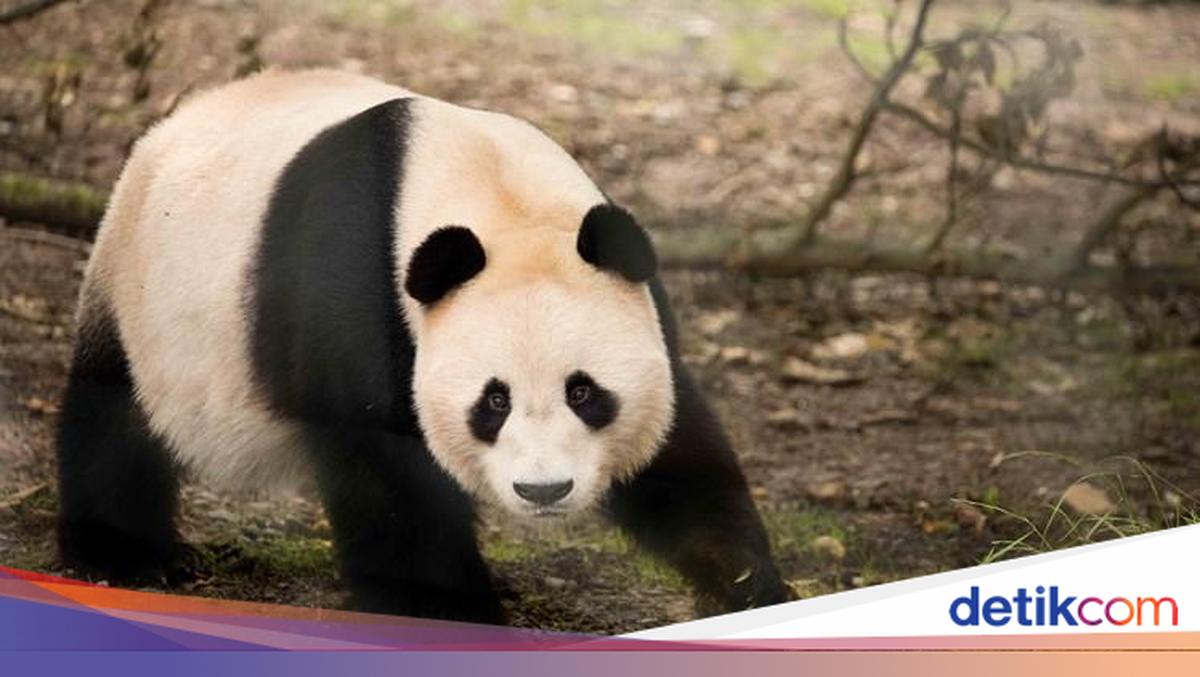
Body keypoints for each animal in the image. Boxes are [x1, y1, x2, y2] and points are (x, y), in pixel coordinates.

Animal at [56, 69, 790, 624]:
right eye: (493, 401)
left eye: (584, 392)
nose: (544, 489)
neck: (494, 193)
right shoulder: (353, 289)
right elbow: (385, 470)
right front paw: (452, 611)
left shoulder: (637, 301)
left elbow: (679, 449)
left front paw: (745, 583)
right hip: (143, 293)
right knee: (113, 419)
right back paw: (125, 555)